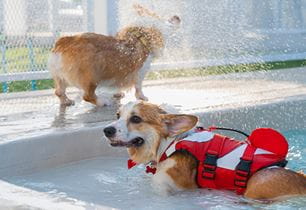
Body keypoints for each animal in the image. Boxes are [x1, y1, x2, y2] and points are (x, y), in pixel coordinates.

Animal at [103, 101, 306, 200]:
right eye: (118, 115)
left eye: (136, 119)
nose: (106, 130)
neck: (169, 143)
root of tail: (301, 179)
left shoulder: (164, 183)